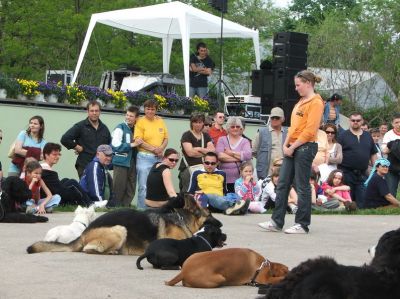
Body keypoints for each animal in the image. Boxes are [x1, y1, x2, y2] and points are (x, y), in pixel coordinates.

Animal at [27, 196, 222, 256]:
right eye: (210, 215)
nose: (221, 223)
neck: (182, 220)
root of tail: (84, 233)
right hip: (120, 229)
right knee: (89, 249)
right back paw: (111, 251)